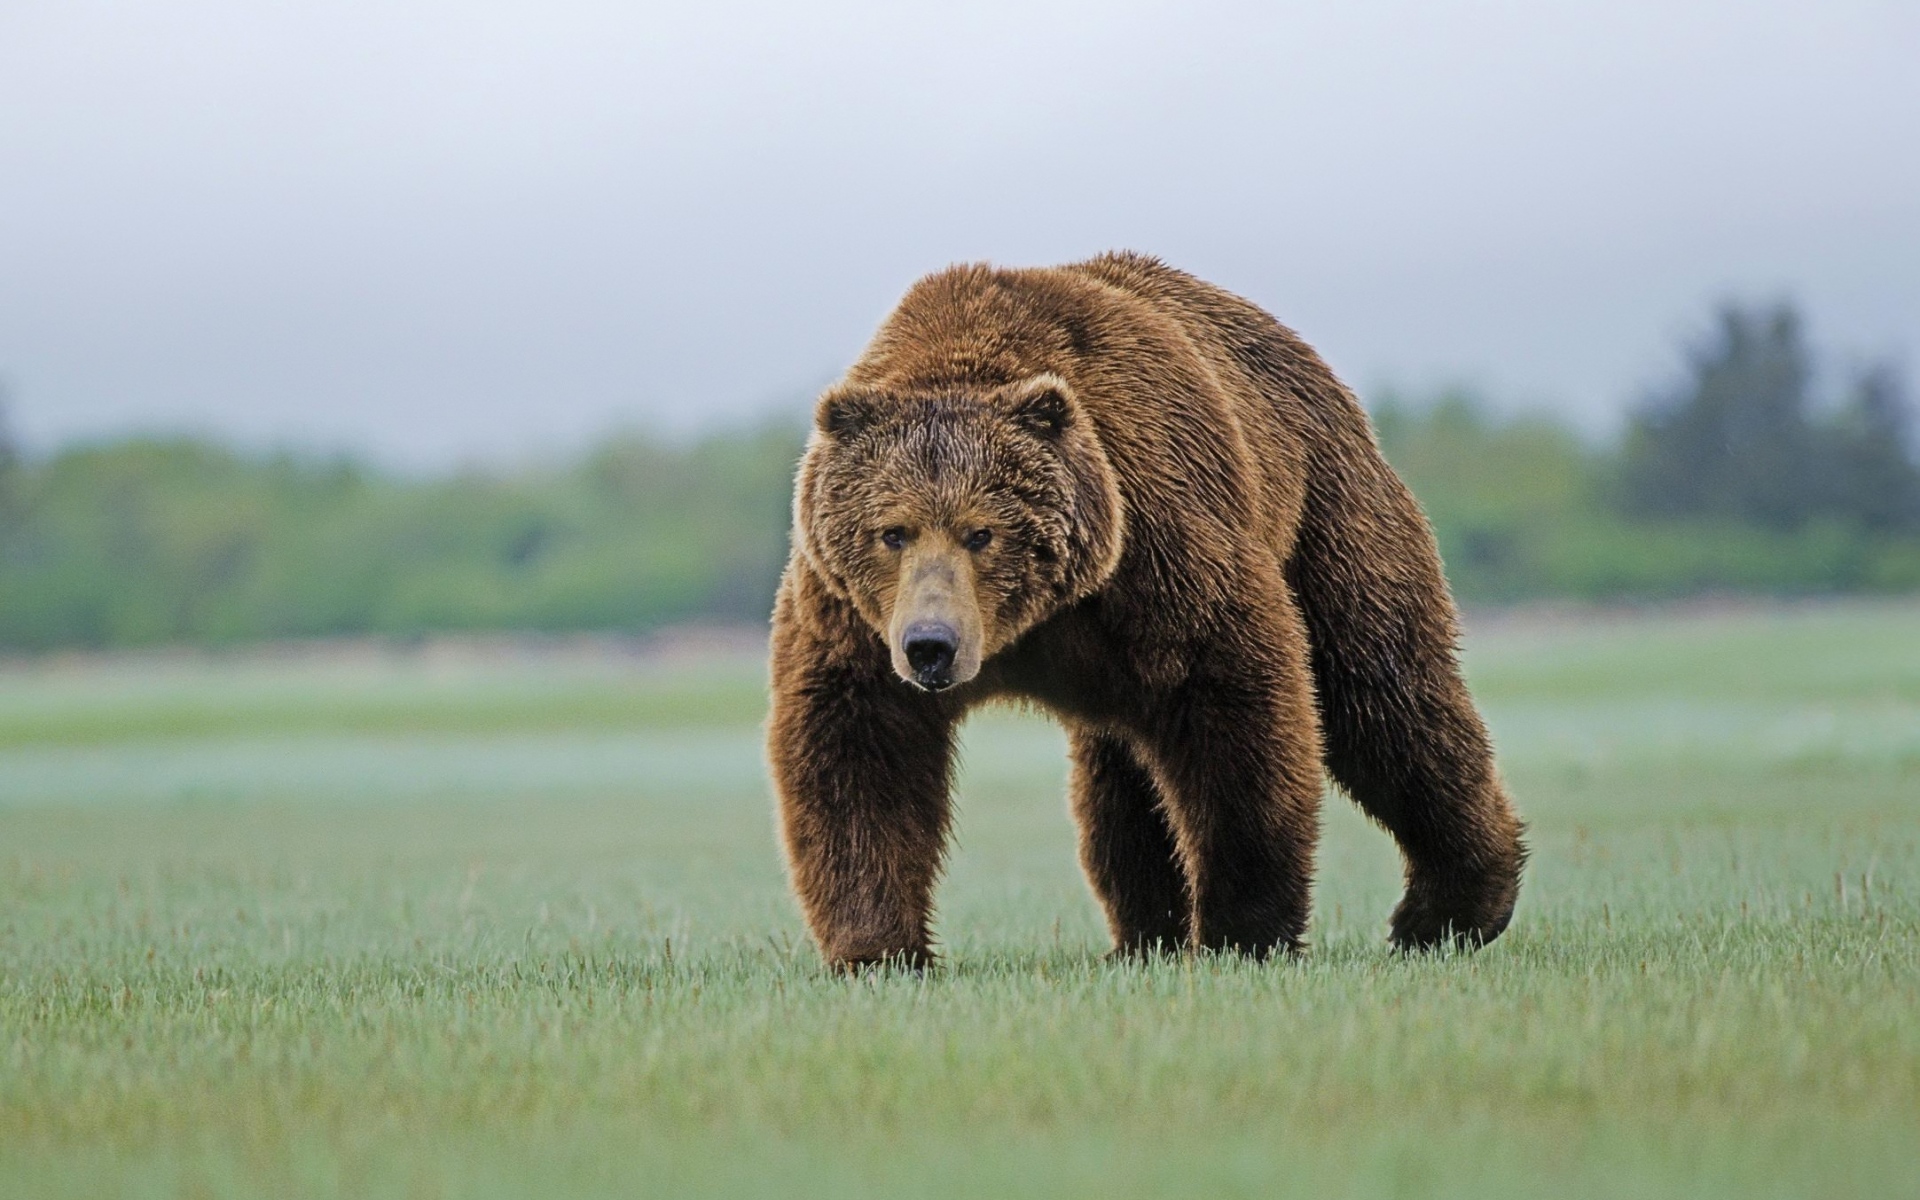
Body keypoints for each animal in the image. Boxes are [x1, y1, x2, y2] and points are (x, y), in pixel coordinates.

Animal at [768, 251, 1524, 969]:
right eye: (893, 531)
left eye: (982, 532)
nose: (932, 645)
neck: (1034, 623)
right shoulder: (854, 618)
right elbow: (860, 751)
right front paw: (879, 948)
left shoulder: (1160, 547)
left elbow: (1238, 713)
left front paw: (1242, 931)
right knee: (1121, 780)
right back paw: (1144, 934)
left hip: (1327, 512)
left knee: (1384, 695)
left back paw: (1449, 910)